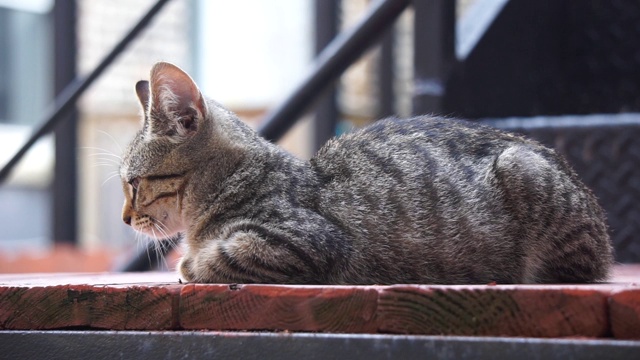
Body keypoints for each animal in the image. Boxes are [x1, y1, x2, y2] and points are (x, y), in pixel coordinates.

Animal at [120, 63, 616, 286]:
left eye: (133, 183)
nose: (125, 219)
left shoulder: (305, 243)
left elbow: (222, 255)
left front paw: (190, 263)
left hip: (523, 169)